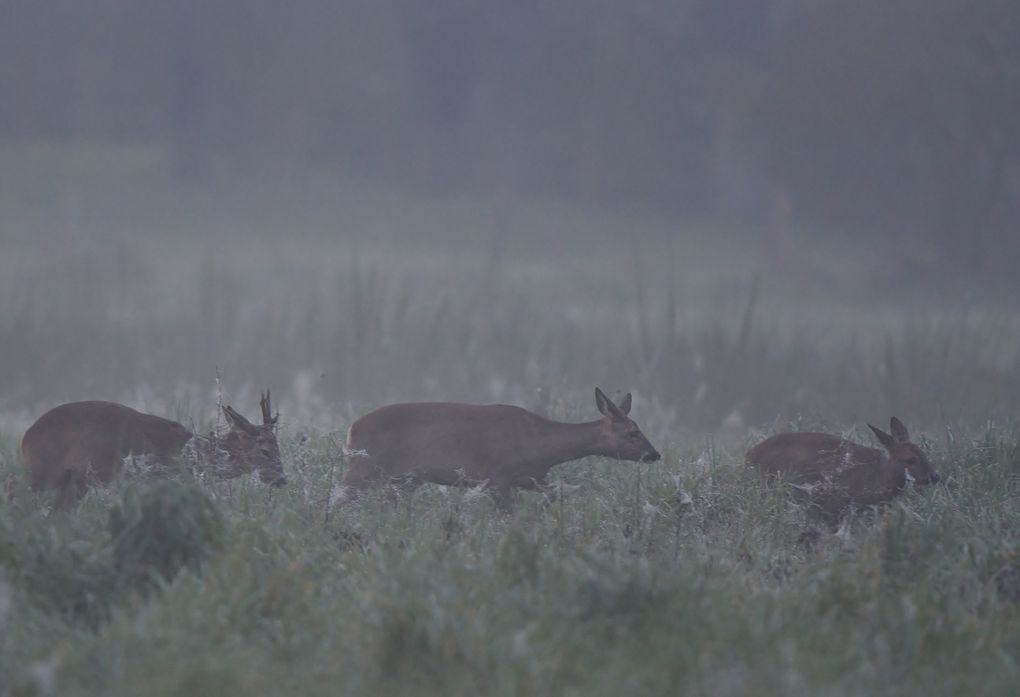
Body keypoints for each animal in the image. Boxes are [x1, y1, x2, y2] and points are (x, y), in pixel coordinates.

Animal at [23, 391, 287, 512]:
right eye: (265, 450)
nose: (282, 479)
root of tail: (27, 436)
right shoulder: (154, 479)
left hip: (75, 482)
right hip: (45, 469)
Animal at [340, 387, 660, 512]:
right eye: (633, 433)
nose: (655, 454)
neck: (542, 444)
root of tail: (351, 429)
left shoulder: (532, 477)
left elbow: (557, 491)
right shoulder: (498, 476)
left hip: (403, 479)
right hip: (364, 468)